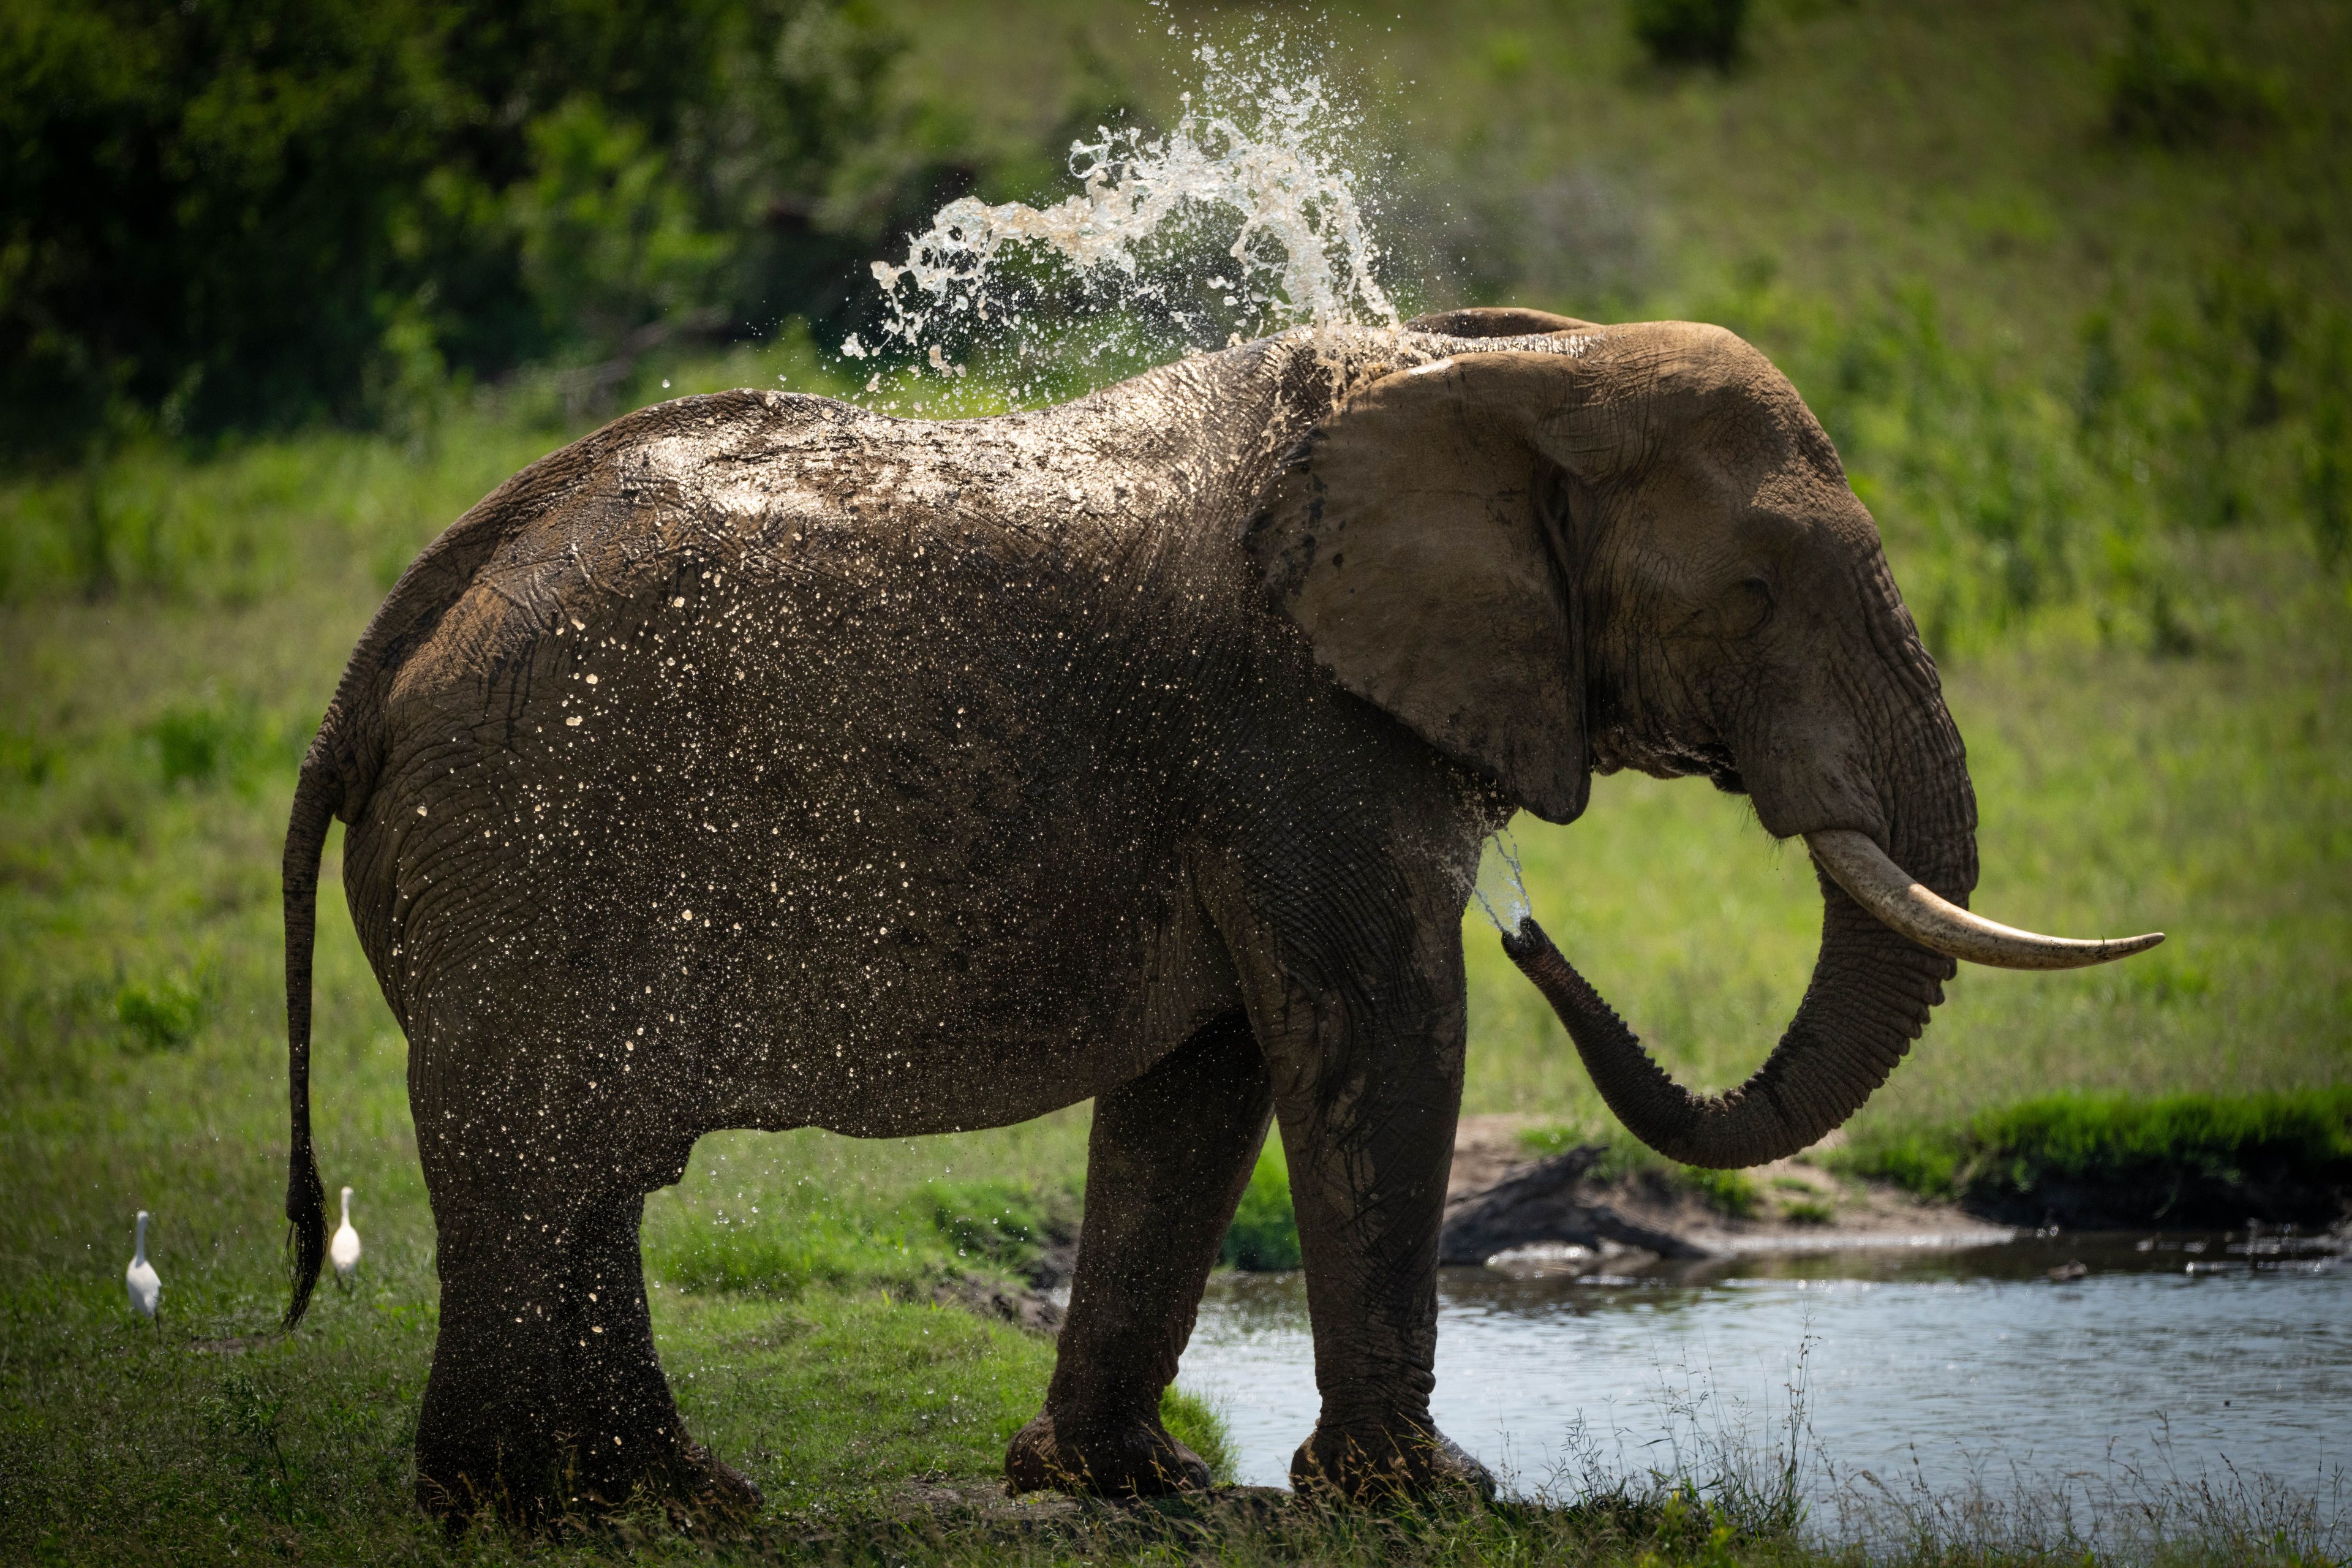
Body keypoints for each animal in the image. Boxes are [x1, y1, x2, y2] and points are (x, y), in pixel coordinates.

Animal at [270, 303, 2154, 1523]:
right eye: (1755, 591)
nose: (1538, 928)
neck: (1496, 365)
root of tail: (383, 651)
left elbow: (1212, 1074)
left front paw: (1127, 1484)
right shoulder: (1290, 725)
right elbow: (1382, 1034)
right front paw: (1431, 1502)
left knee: (586, 1172)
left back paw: (662, 1493)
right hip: (538, 837)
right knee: (540, 1156)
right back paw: (519, 1508)